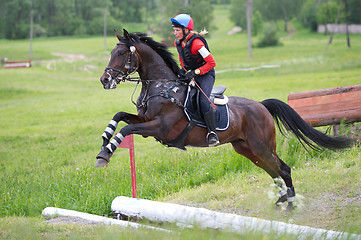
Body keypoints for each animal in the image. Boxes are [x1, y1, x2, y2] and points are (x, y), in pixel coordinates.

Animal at [95, 29, 352, 210]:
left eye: (121, 53)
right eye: (112, 53)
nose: (104, 80)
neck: (162, 87)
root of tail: (262, 106)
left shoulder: (160, 128)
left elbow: (126, 130)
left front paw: (105, 155)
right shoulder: (145, 120)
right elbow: (120, 117)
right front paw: (104, 142)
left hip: (261, 146)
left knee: (284, 169)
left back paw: (290, 204)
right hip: (247, 149)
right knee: (273, 171)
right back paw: (280, 202)